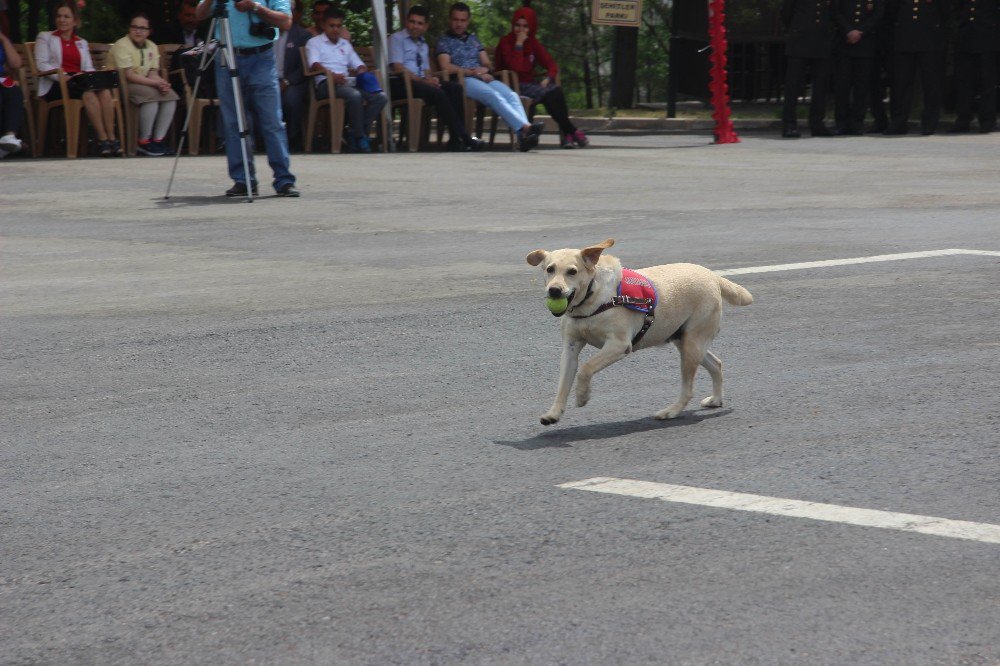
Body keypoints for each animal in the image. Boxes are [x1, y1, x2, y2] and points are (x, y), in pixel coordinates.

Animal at [528, 240, 752, 426]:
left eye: (572, 271)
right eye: (550, 269)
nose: (554, 290)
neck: (592, 299)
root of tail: (713, 276)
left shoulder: (618, 345)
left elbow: (585, 368)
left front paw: (583, 396)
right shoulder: (570, 348)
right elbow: (563, 385)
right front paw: (554, 413)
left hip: (692, 345)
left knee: (688, 389)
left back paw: (671, 411)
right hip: (686, 341)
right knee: (717, 364)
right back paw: (716, 399)